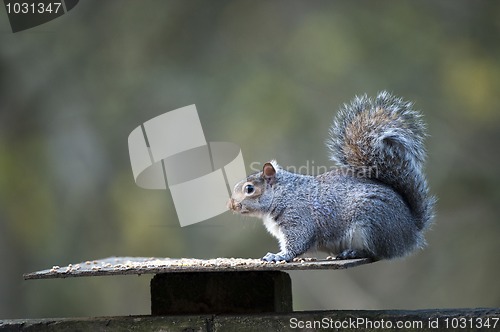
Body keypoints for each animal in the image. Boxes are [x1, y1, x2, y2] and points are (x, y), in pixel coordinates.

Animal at [229, 91, 436, 262]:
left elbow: (298, 242)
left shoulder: (299, 217)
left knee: (376, 253)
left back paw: (353, 252)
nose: (230, 205)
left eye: (249, 189)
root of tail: (410, 230)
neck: (284, 193)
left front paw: (278, 256)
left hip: (372, 226)